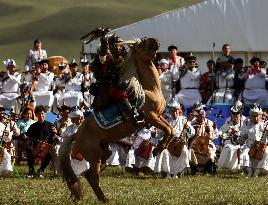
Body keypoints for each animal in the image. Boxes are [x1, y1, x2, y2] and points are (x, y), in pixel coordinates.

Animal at [59, 37, 174, 203]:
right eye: (140, 45)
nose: (155, 40)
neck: (150, 90)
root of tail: (76, 135)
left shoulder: (158, 116)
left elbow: (170, 129)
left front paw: (161, 146)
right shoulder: (150, 116)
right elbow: (167, 129)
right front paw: (158, 149)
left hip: (103, 151)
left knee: (91, 173)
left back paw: (102, 196)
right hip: (94, 155)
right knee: (92, 175)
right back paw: (104, 198)